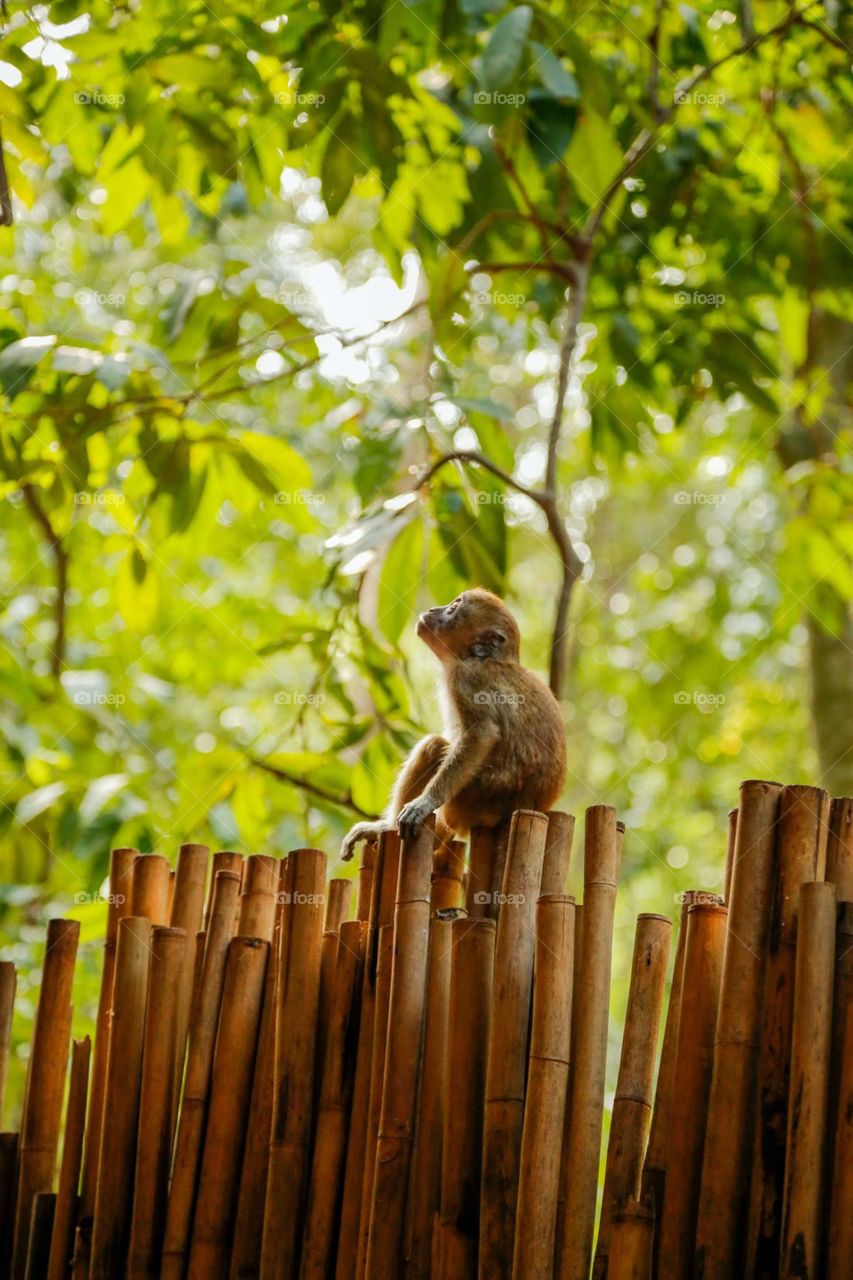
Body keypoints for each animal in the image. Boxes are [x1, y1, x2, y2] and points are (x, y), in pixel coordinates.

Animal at [341, 589, 566, 860]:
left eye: (454, 607)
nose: (433, 610)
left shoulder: (465, 677)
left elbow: (482, 734)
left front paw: (425, 802)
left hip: (471, 802)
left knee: (434, 745)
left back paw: (390, 827)